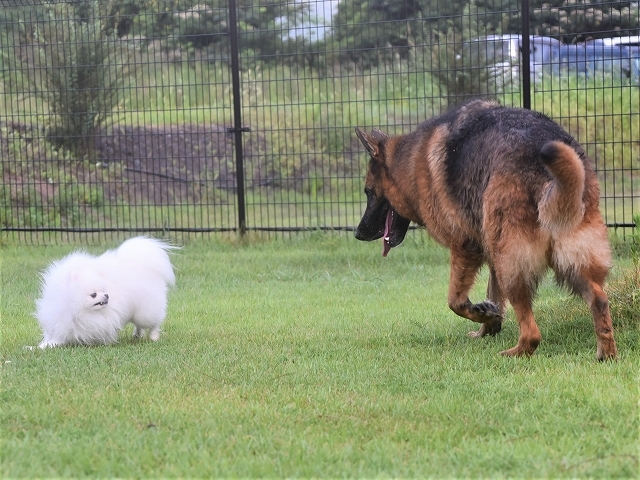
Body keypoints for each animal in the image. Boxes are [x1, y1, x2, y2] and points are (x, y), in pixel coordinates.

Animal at [36, 237, 179, 346]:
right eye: (93, 294)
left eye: (103, 291)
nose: (106, 295)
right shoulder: (61, 324)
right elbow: (54, 340)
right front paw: (40, 347)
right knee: (139, 326)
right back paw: (137, 335)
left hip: (145, 312)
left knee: (153, 324)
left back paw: (153, 337)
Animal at [356, 99, 616, 358]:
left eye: (368, 192)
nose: (358, 233)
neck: (410, 163)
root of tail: (547, 176)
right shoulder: (489, 252)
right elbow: (494, 294)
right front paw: (489, 325)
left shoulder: (465, 247)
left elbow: (455, 301)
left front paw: (483, 314)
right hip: (570, 260)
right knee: (599, 299)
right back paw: (606, 353)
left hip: (510, 264)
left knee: (532, 333)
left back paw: (514, 352)